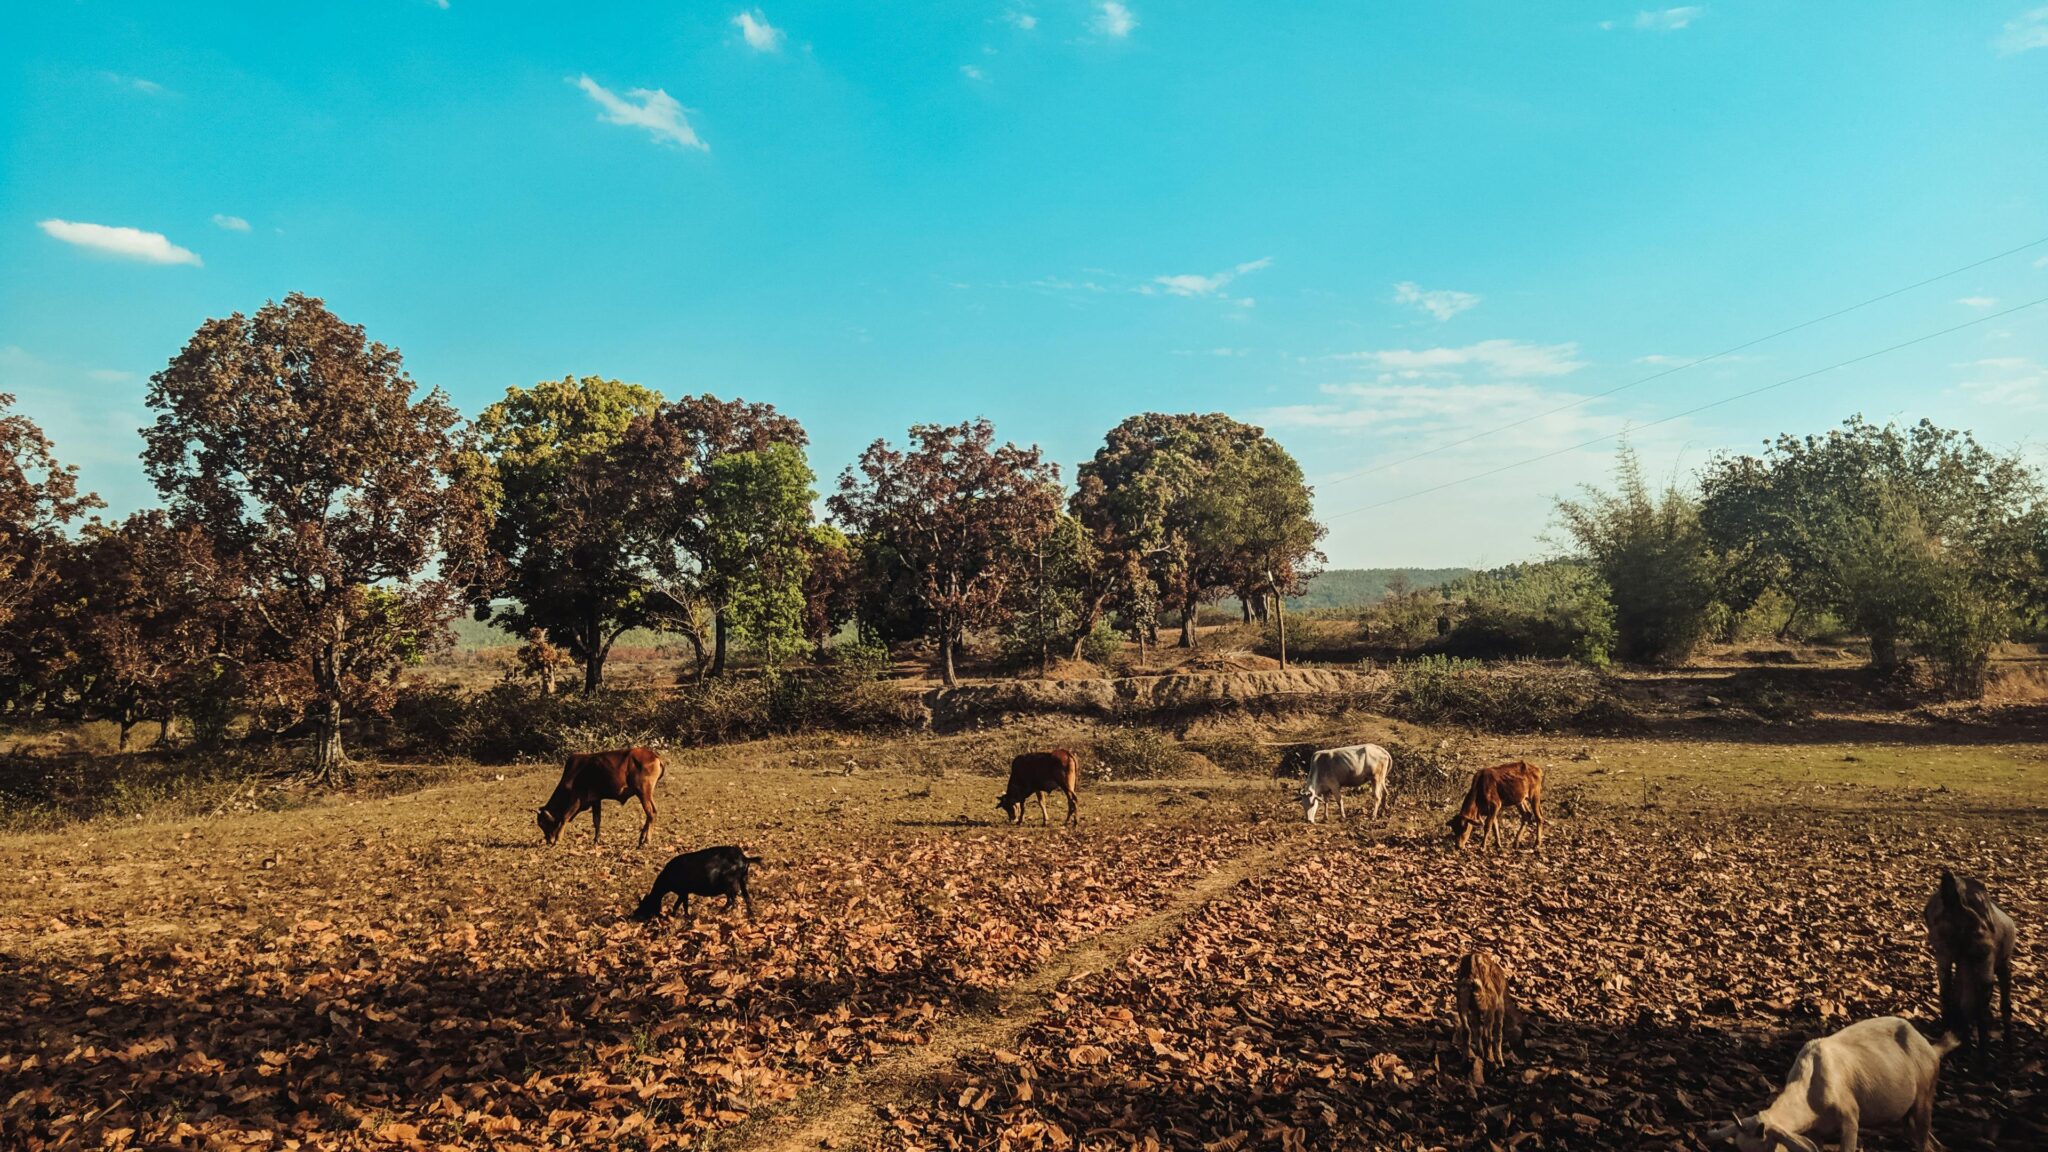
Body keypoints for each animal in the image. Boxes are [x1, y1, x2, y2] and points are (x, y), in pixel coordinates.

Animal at [1449, 947, 1515, 1082]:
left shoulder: (1474, 1011)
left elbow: (1477, 1031)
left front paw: (1480, 1054)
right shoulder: (1499, 1006)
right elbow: (1498, 1035)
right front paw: (1500, 1062)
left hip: (1461, 1001)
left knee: (1467, 1031)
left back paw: (1465, 1062)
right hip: (1490, 1007)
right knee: (1487, 1036)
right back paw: (1491, 1062)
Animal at [1703, 1012, 1957, 1147]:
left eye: (1766, 1146)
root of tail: (1931, 1048)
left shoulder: (1850, 1119)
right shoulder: (1816, 1130)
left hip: (1925, 1095)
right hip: (1904, 1116)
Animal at [1916, 865, 2015, 1045]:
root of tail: (1954, 901)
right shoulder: (2000, 965)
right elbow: (2004, 1005)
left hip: (1944, 957)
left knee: (1947, 993)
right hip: (1984, 966)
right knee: (1981, 1012)